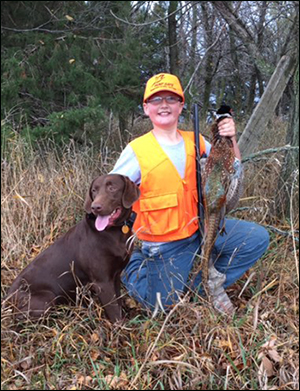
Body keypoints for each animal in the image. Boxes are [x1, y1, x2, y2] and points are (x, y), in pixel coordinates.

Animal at [4, 175, 141, 322]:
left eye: (112, 187)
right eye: (94, 190)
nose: (95, 207)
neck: (113, 232)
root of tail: (6, 299)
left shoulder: (115, 276)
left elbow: (118, 303)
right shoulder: (102, 282)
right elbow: (114, 312)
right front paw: (121, 327)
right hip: (47, 297)